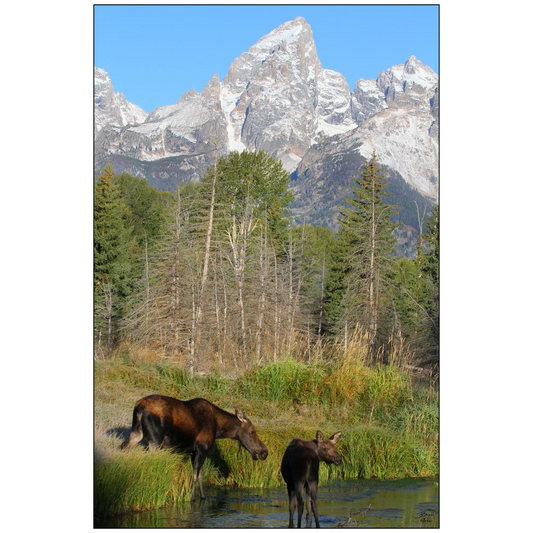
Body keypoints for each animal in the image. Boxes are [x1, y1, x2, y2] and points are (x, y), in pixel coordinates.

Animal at [122, 390, 268, 498]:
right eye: (252, 431)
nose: (264, 452)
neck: (218, 429)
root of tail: (139, 406)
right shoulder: (202, 448)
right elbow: (195, 477)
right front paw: (191, 498)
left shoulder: (196, 451)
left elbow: (200, 476)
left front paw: (202, 497)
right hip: (155, 440)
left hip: (136, 433)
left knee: (124, 449)